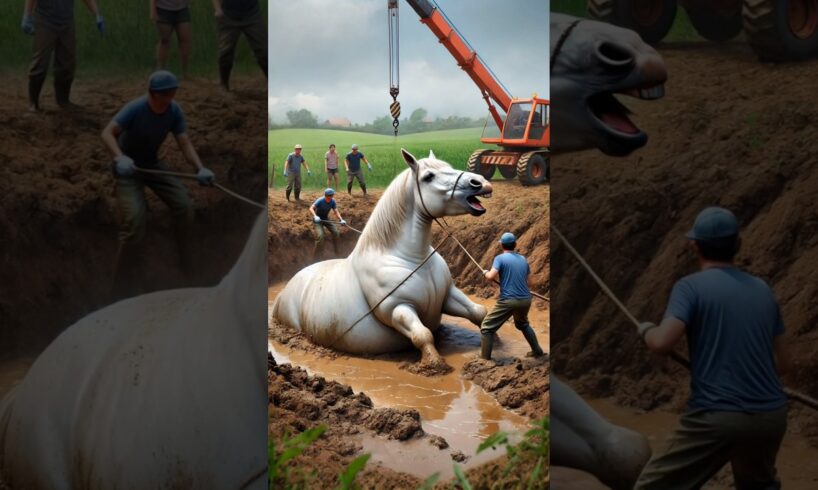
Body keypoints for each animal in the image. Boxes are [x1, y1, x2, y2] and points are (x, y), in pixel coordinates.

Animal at [274, 151, 490, 370]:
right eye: (428, 176)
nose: (480, 182)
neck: (411, 258)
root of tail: (284, 291)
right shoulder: (397, 308)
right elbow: (422, 335)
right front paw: (434, 365)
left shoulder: (448, 294)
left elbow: (479, 312)